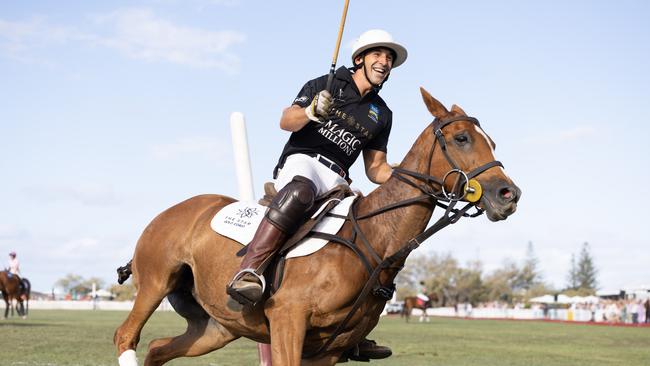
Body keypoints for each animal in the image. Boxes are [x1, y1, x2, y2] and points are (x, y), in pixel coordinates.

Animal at [111, 89, 516, 366]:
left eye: (493, 142)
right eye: (462, 138)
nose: (509, 194)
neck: (373, 239)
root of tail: (173, 211)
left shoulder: (328, 349)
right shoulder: (287, 320)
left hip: (216, 326)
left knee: (158, 349)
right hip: (155, 282)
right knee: (126, 335)